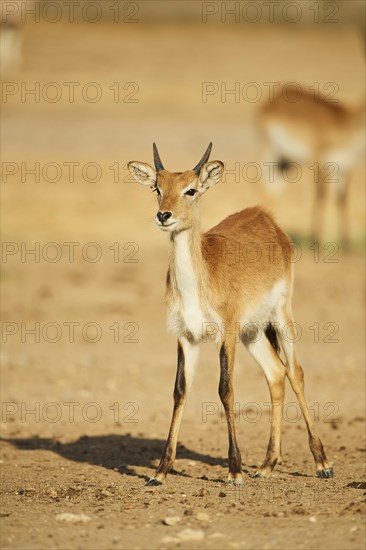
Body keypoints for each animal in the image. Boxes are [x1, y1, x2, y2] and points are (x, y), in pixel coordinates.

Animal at [127, 143, 334, 488]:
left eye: (191, 190)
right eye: (157, 188)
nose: (164, 215)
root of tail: (265, 216)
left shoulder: (228, 334)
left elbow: (226, 390)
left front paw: (235, 471)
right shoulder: (186, 336)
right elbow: (179, 391)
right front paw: (160, 472)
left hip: (281, 316)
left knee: (295, 372)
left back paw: (322, 464)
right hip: (254, 332)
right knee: (275, 373)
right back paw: (266, 466)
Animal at [258, 87, 364, 250]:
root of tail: (273, 101)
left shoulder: (344, 170)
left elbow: (342, 201)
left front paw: (346, 244)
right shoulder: (320, 162)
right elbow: (321, 197)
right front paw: (316, 241)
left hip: (284, 162)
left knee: (272, 190)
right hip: (271, 154)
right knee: (264, 188)